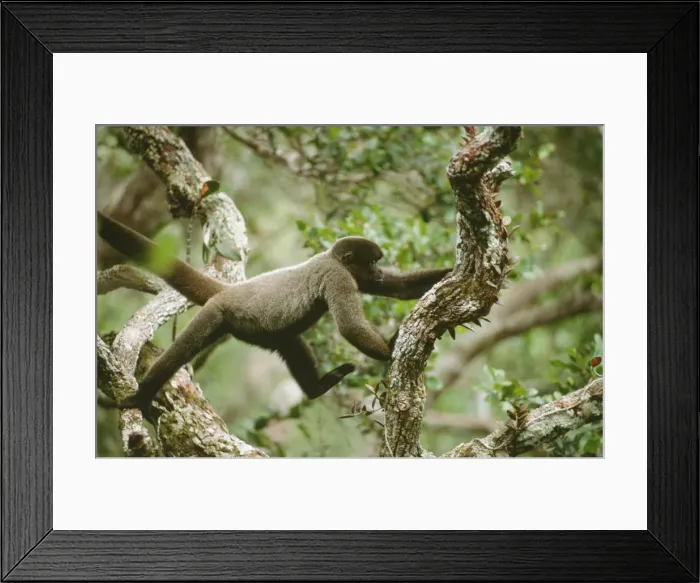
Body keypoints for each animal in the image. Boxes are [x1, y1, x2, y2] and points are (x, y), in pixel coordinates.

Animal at [97, 211, 451, 412]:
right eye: (372, 261)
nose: (377, 272)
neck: (334, 259)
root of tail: (229, 291)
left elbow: (400, 287)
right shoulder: (337, 277)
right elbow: (350, 326)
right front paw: (390, 349)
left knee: (291, 343)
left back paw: (316, 388)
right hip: (215, 314)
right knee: (181, 351)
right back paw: (140, 397)